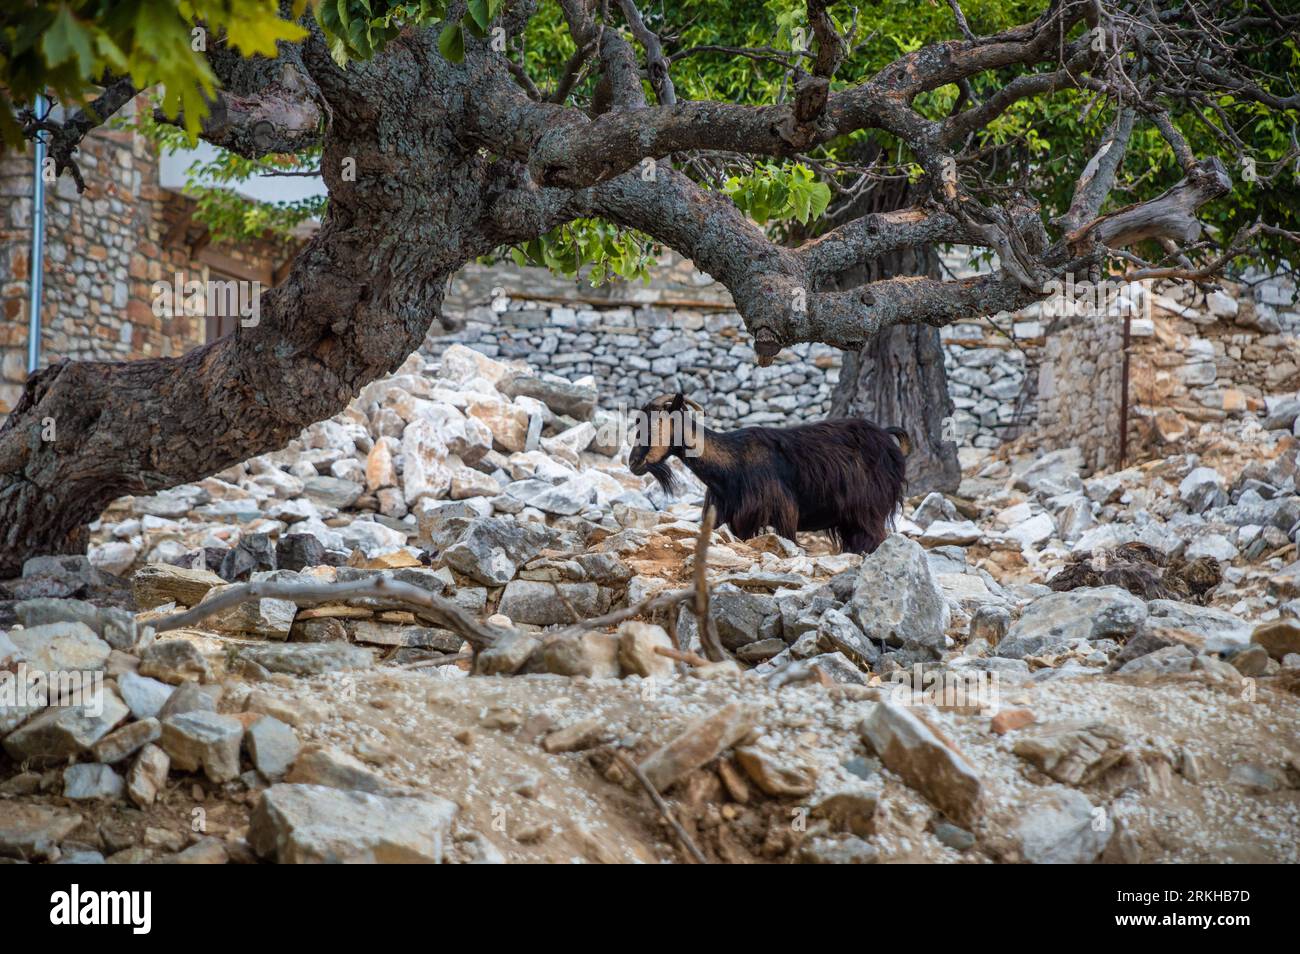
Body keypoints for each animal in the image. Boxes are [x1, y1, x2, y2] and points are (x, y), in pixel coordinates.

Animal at [627, 392, 910, 554]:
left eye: (656, 423)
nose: (633, 462)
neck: (733, 463)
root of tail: (888, 440)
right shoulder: (726, 516)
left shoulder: (776, 514)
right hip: (851, 520)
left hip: (869, 512)